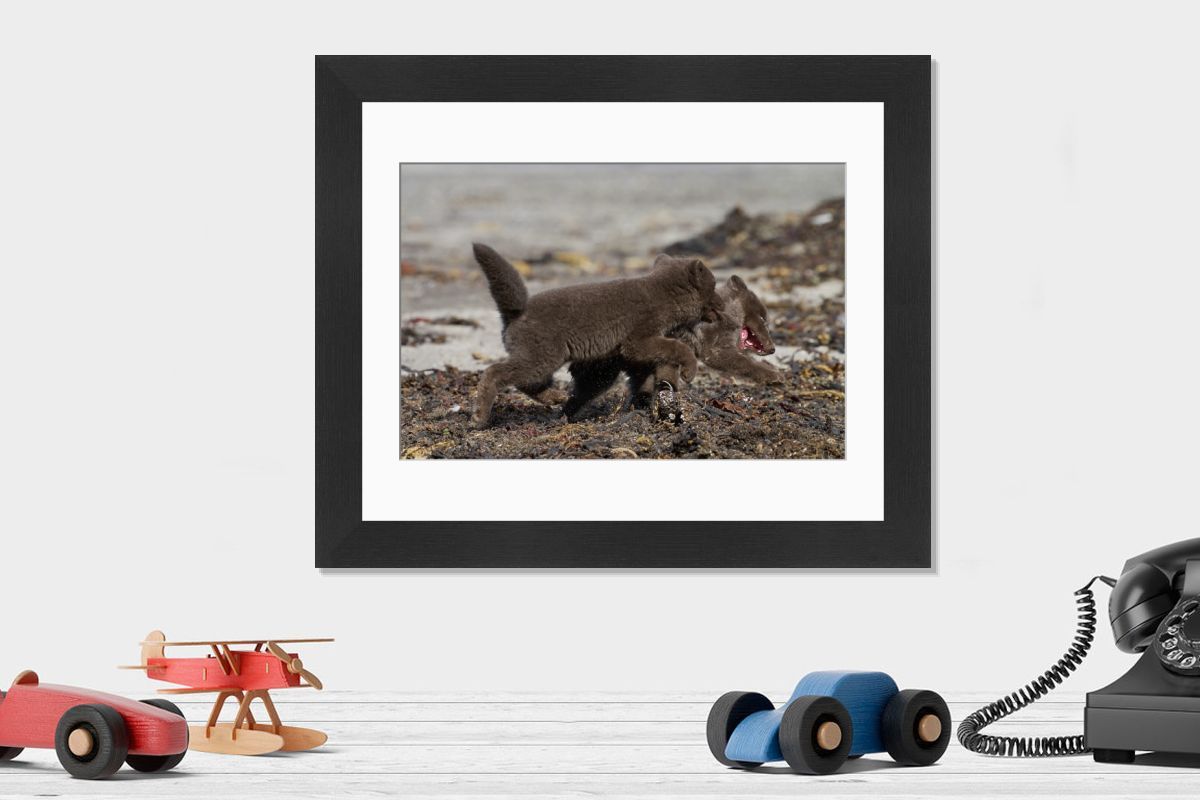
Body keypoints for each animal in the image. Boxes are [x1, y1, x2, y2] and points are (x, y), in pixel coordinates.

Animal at [470, 243, 725, 429]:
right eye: (714, 286)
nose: (723, 304)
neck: (663, 296)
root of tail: (517, 312)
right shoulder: (638, 338)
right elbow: (676, 347)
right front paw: (689, 371)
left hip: (541, 357)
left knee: (530, 383)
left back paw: (555, 398)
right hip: (541, 355)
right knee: (497, 373)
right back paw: (480, 417)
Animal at [563, 274, 784, 420]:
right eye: (764, 319)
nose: (773, 349)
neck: (728, 316)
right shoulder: (714, 347)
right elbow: (743, 362)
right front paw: (774, 375)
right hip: (604, 371)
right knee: (583, 393)